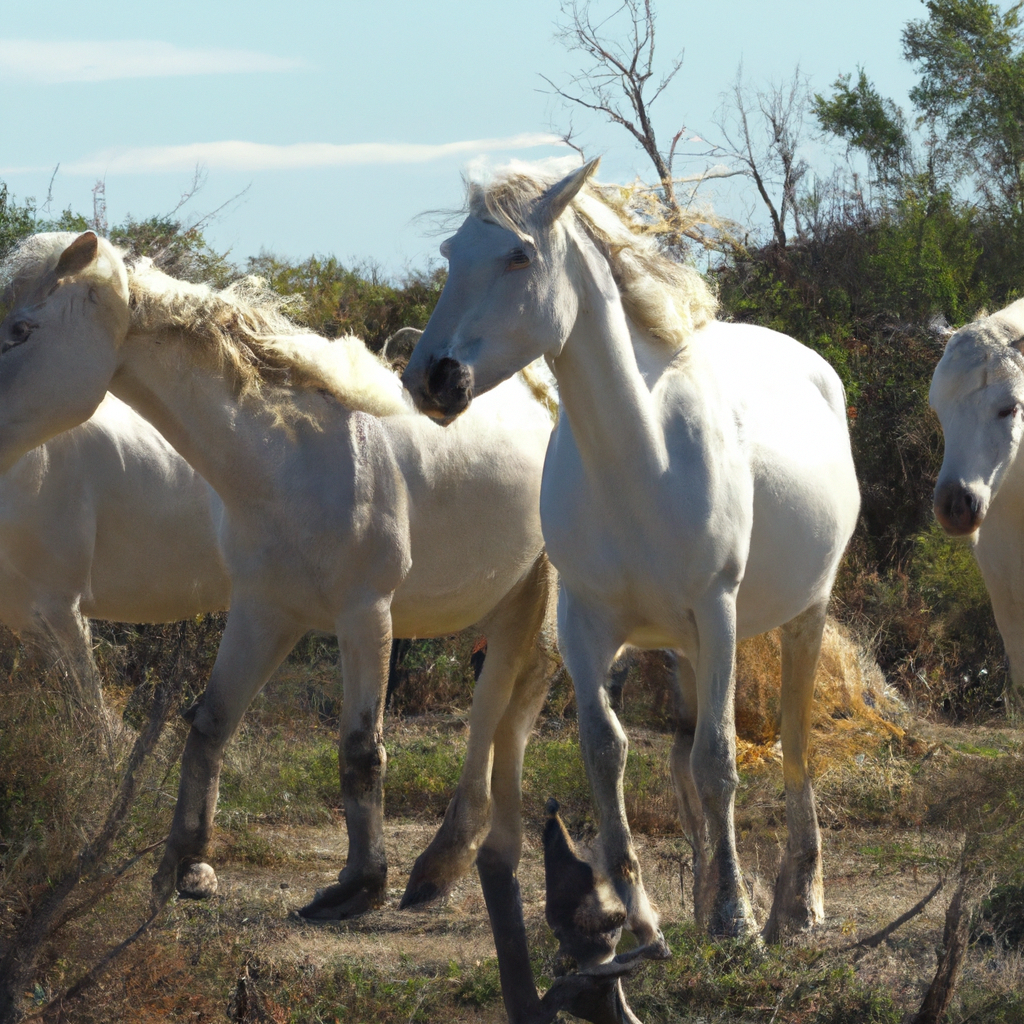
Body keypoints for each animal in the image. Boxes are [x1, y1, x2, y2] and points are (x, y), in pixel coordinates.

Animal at [403, 163, 860, 1003]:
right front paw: (642, 921)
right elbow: (607, 751)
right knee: (683, 762)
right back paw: (712, 894)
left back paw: (796, 904)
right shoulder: (586, 626)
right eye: (451, 252)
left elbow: (720, 760)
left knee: (791, 745)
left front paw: (738, 925)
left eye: (518, 256)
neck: (640, 456)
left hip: (800, 615)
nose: (432, 378)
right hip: (682, 647)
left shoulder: (717, 611)